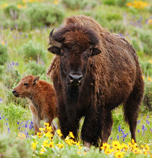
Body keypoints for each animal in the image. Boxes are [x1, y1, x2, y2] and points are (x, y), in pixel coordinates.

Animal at [47, 14, 144, 149]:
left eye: (88, 54)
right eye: (62, 52)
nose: (75, 78)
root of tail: (133, 54)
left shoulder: (94, 108)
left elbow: (88, 133)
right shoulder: (64, 107)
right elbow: (70, 131)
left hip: (134, 97)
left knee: (132, 124)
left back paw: (133, 147)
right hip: (108, 108)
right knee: (108, 127)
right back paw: (103, 147)